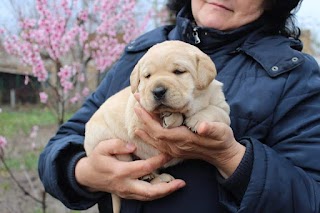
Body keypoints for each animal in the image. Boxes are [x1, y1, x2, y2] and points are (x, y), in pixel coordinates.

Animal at [84, 39, 230, 211]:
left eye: (179, 71)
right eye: (147, 76)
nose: (158, 91)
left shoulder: (223, 107)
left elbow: (216, 111)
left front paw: (197, 119)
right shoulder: (137, 112)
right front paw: (172, 116)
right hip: (114, 148)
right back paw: (151, 177)